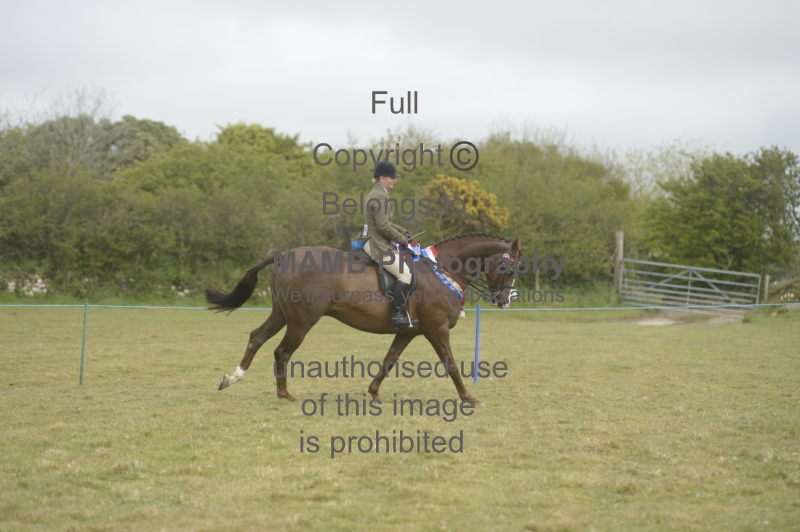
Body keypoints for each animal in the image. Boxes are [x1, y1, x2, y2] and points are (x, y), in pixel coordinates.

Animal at [204, 232, 522, 406]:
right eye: (508, 268)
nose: (504, 301)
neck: (442, 270)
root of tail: (283, 255)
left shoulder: (408, 332)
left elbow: (389, 360)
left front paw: (374, 393)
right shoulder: (437, 329)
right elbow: (452, 365)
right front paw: (469, 398)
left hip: (282, 315)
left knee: (256, 337)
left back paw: (232, 378)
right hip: (302, 322)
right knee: (281, 351)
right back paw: (285, 395)